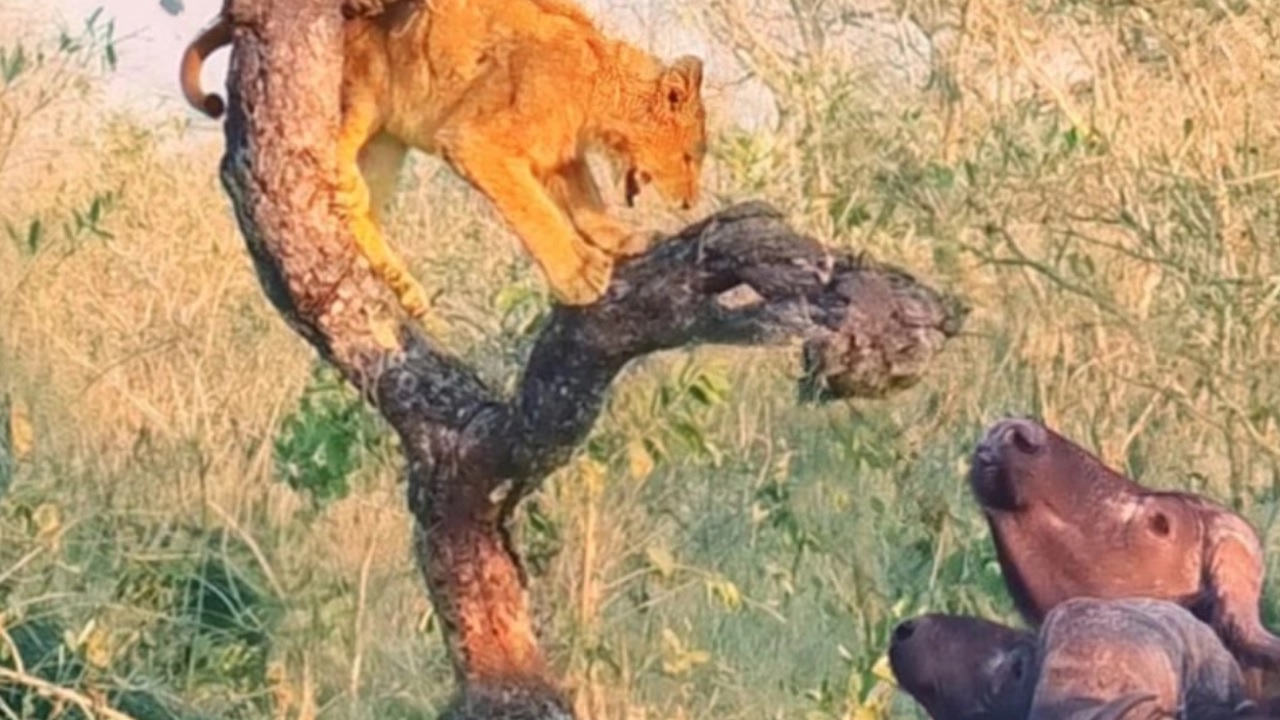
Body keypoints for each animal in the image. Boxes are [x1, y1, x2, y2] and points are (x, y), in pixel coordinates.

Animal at [180, 0, 707, 316]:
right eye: (689, 157)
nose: (689, 203)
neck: (599, 86)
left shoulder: (559, 153)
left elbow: (587, 203)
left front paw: (625, 238)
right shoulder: (476, 140)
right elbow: (533, 211)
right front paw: (579, 275)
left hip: (389, 145)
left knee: (364, 216)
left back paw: (406, 289)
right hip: (367, 85)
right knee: (336, 147)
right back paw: (350, 191)